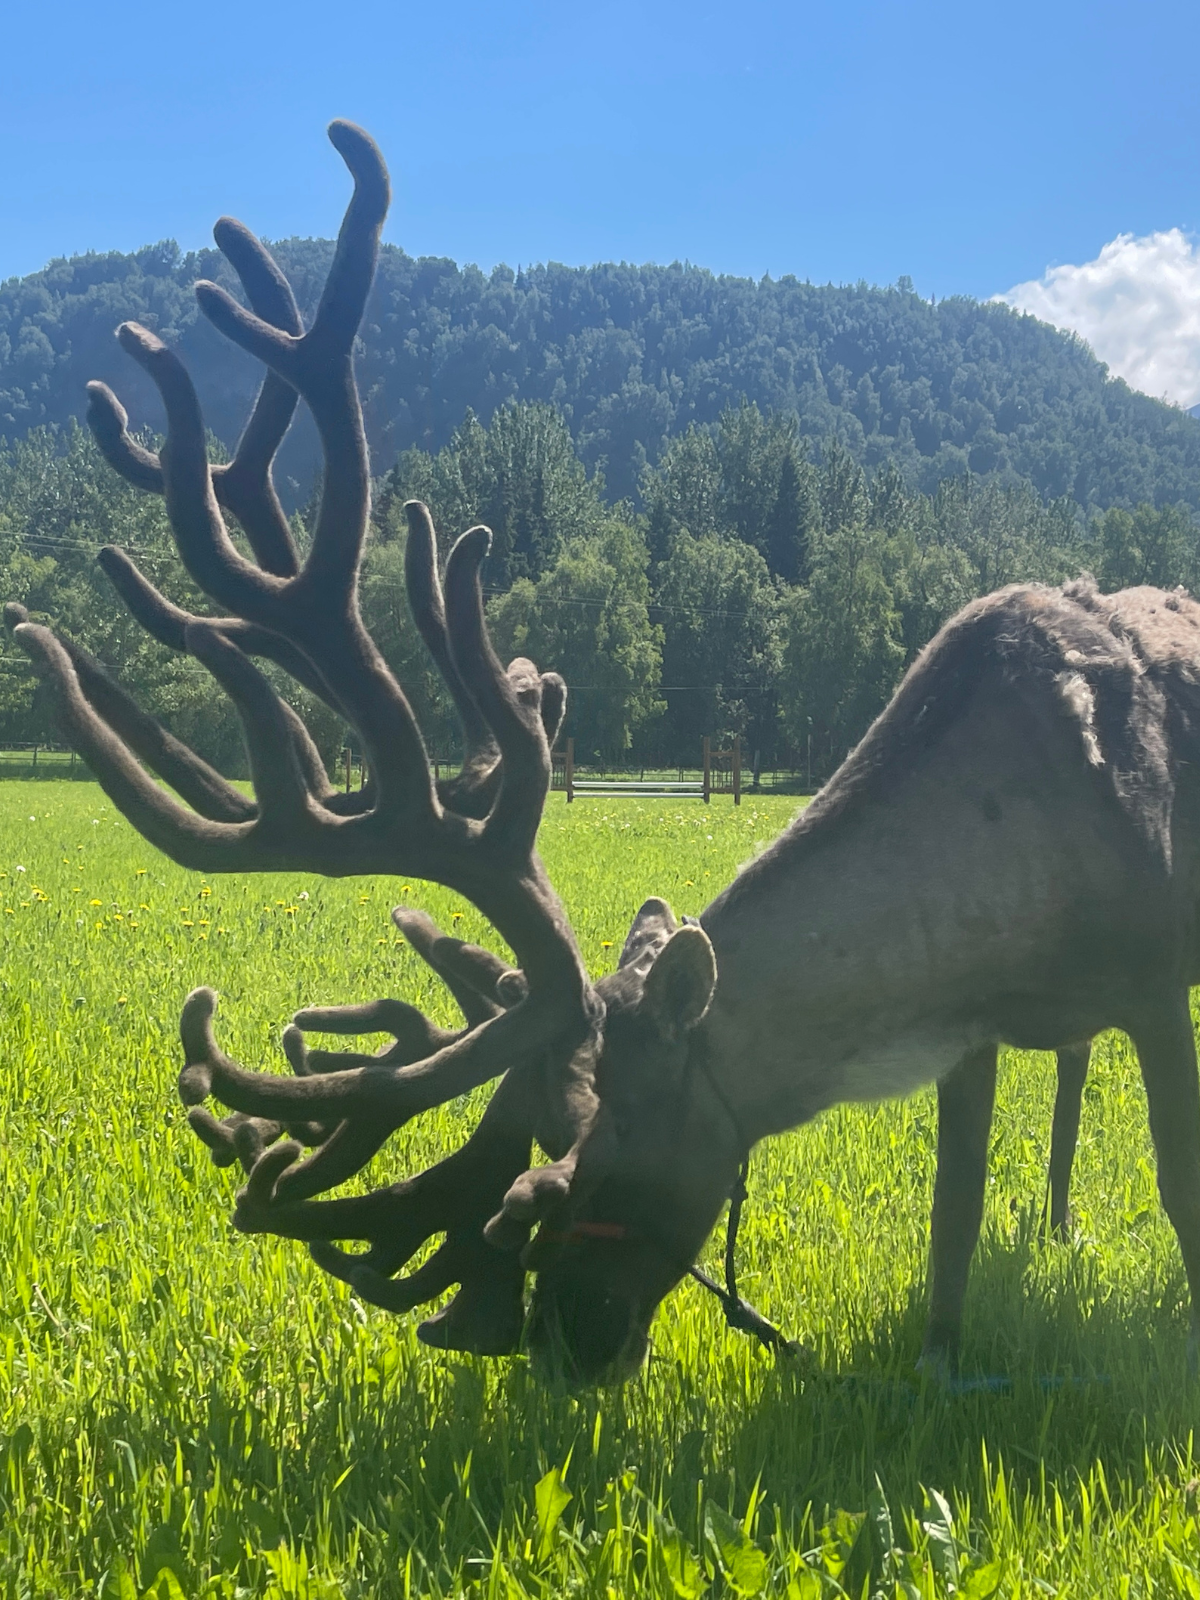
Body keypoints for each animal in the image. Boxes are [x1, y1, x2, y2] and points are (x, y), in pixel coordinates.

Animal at [11, 121, 1200, 1389]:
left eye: (588, 1153)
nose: (558, 1342)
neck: (997, 908)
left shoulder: (1150, 971)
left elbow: (1172, 1183)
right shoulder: (968, 1028)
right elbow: (953, 1206)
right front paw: (937, 1359)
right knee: (1068, 1071)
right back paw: (1059, 1220)